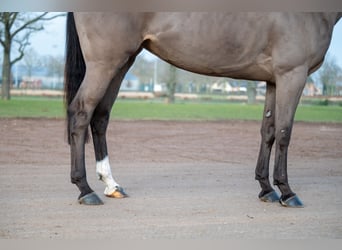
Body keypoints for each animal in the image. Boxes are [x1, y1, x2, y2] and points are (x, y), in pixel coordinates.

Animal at [65, 11, 342, 207]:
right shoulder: (292, 75)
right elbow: (285, 133)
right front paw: (287, 192)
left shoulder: (274, 80)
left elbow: (269, 131)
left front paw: (266, 189)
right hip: (104, 64)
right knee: (81, 113)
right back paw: (85, 190)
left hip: (122, 62)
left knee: (100, 117)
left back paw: (111, 185)